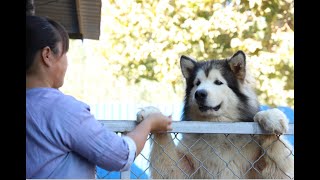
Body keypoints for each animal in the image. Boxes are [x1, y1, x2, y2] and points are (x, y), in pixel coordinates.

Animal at [136, 50, 294, 179]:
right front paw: (152, 114)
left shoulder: (269, 169)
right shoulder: (180, 170)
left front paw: (271, 118)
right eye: (197, 83)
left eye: (218, 82)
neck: (218, 131)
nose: (199, 94)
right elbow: (169, 171)